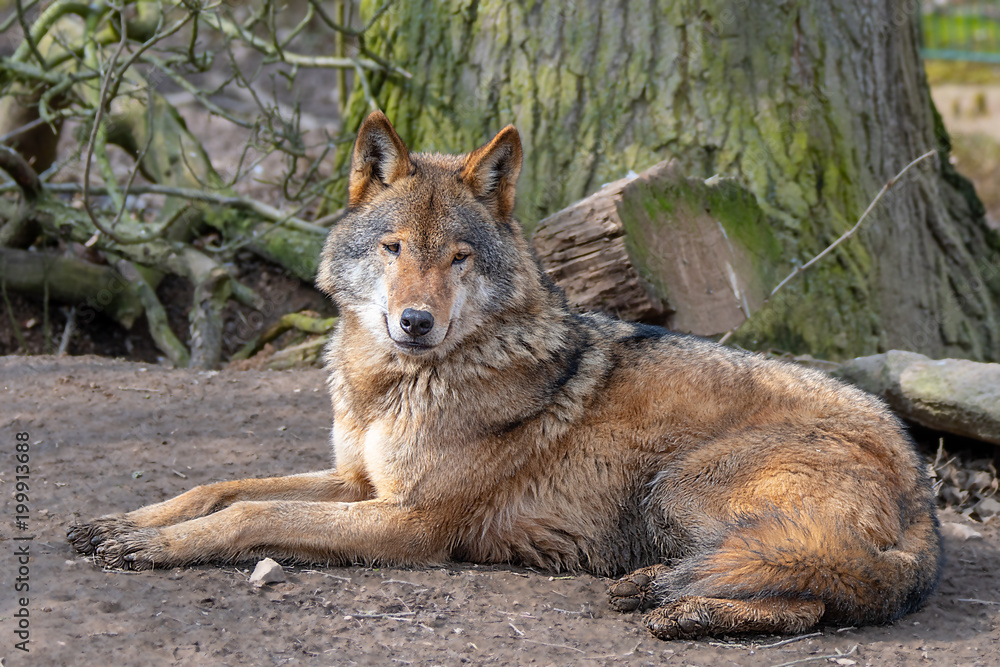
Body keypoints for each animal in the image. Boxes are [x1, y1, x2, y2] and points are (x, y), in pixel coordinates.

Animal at [68, 110, 942, 639]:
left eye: (458, 256)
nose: (415, 321)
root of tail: (923, 491)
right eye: (393, 248)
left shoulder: (410, 525)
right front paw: (122, 521)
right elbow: (220, 486)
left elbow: (249, 512)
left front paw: (154, 545)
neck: (394, 383)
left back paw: (683, 608)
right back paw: (664, 593)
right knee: (799, 587)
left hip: (678, 486)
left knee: (809, 592)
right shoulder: (359, 481)